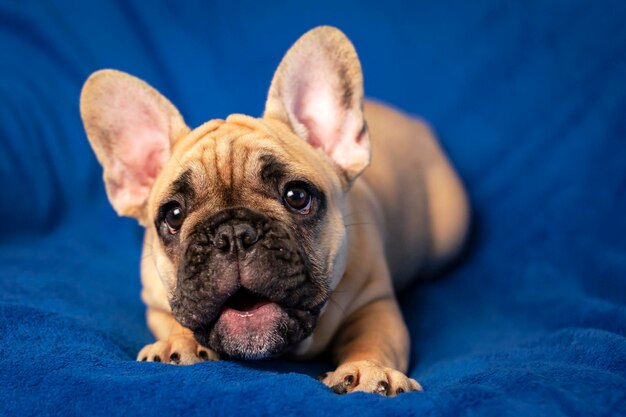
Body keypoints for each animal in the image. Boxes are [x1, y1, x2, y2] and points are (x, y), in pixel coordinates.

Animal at [79, 24, 468, 394]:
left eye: (297, 196)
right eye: (173, 215)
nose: (233, 235)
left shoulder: (374, 302)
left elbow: (374, 338)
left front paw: (369, 370)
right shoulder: (156, 302)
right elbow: (175, 321)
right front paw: (177, 343)